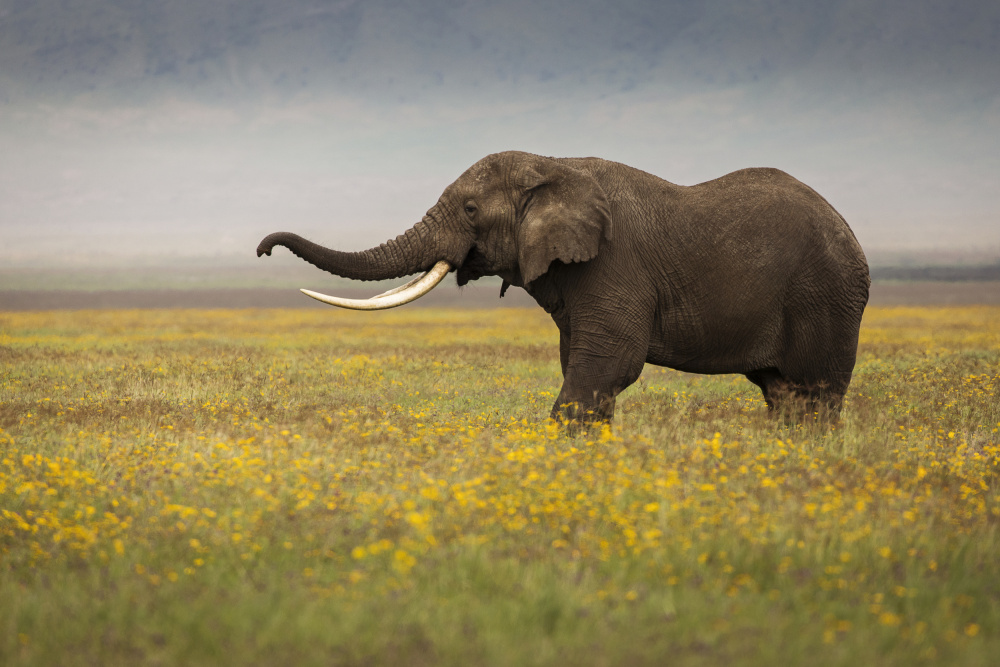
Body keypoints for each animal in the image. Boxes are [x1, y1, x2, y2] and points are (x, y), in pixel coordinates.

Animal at [257, 151, 870, 422]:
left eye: (471, 210)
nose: (263, 249)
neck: (551, 164)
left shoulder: (615, 265)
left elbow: (607, 363)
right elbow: (580, 360)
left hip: (826, 295)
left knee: (812, 394)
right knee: (782, 395)